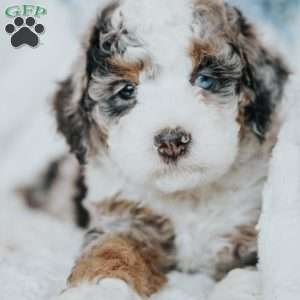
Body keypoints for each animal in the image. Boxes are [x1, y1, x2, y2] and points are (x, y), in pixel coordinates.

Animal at [22, 0, 290, 298]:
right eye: (127, 91)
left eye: (205, 80)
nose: (171, 141)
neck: (188, 194)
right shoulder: (124, 215)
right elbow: (111, 248)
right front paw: (97, 290)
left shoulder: (250, 221)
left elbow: (255, 267)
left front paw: (238, 289)